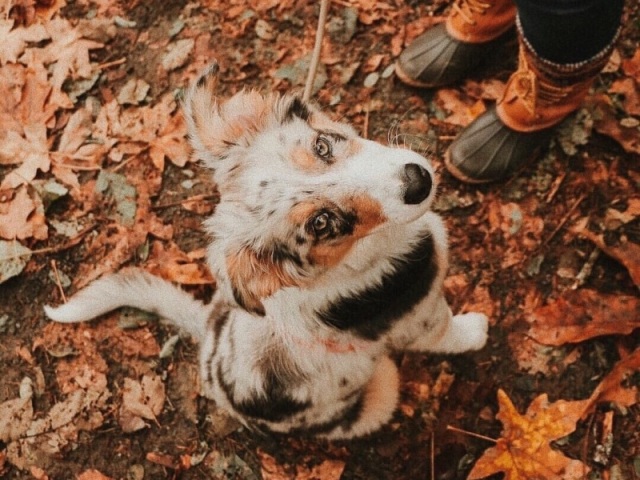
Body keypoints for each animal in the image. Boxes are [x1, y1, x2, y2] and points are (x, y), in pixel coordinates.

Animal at [45, 62, 488, 438]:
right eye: (321, 223)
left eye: (322, 146)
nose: (419, 182)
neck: (361, 254)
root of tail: (204, 336)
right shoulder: (421, 319)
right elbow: (448, 330)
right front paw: (475, 330)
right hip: (383, 387)